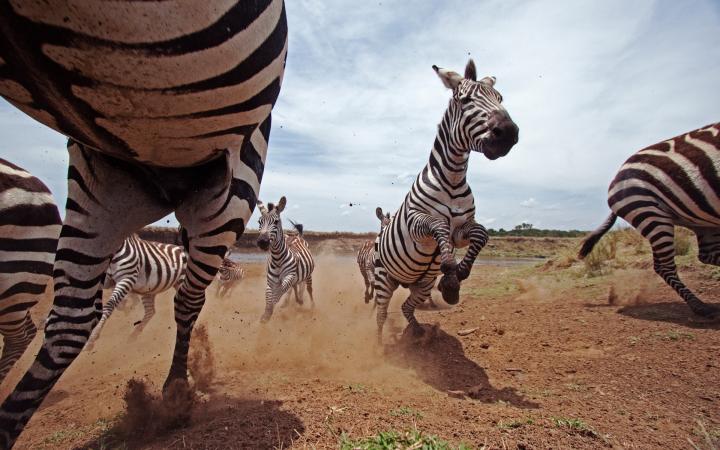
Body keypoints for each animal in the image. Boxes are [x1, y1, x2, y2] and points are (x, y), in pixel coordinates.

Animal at [372, 59, 516, 342]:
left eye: (500, 98)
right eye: (465, 100)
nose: (508, 132)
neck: (453, 178)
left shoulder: (460, 231)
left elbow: (481, 234)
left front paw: (454, 279)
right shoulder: (417, 225)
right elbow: (438, 225)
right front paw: (449, 265)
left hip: (423, 284)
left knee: (407, 307)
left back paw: (417, 334)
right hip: (384, 280)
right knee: (381, 315)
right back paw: (379, 345)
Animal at [580, 123, 720, 318]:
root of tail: (616, 176)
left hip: (700, 223)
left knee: (707, 255)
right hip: (652, 215)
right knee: (665, 266)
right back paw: (700, 306)